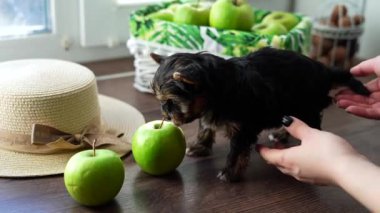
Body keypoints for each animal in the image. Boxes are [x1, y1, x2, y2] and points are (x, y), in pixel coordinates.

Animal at [150, 47, 370, 182]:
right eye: (161, 101)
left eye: (170, 102)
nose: (166, 115)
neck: (217, 92)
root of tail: (324, 71)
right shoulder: (208, 113)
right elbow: (205, 127)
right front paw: (199, 147)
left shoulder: (243, 128)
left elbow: (237, 151)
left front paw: (229, 173)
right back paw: (281, 133)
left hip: (306, 107)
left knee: (312, 125)